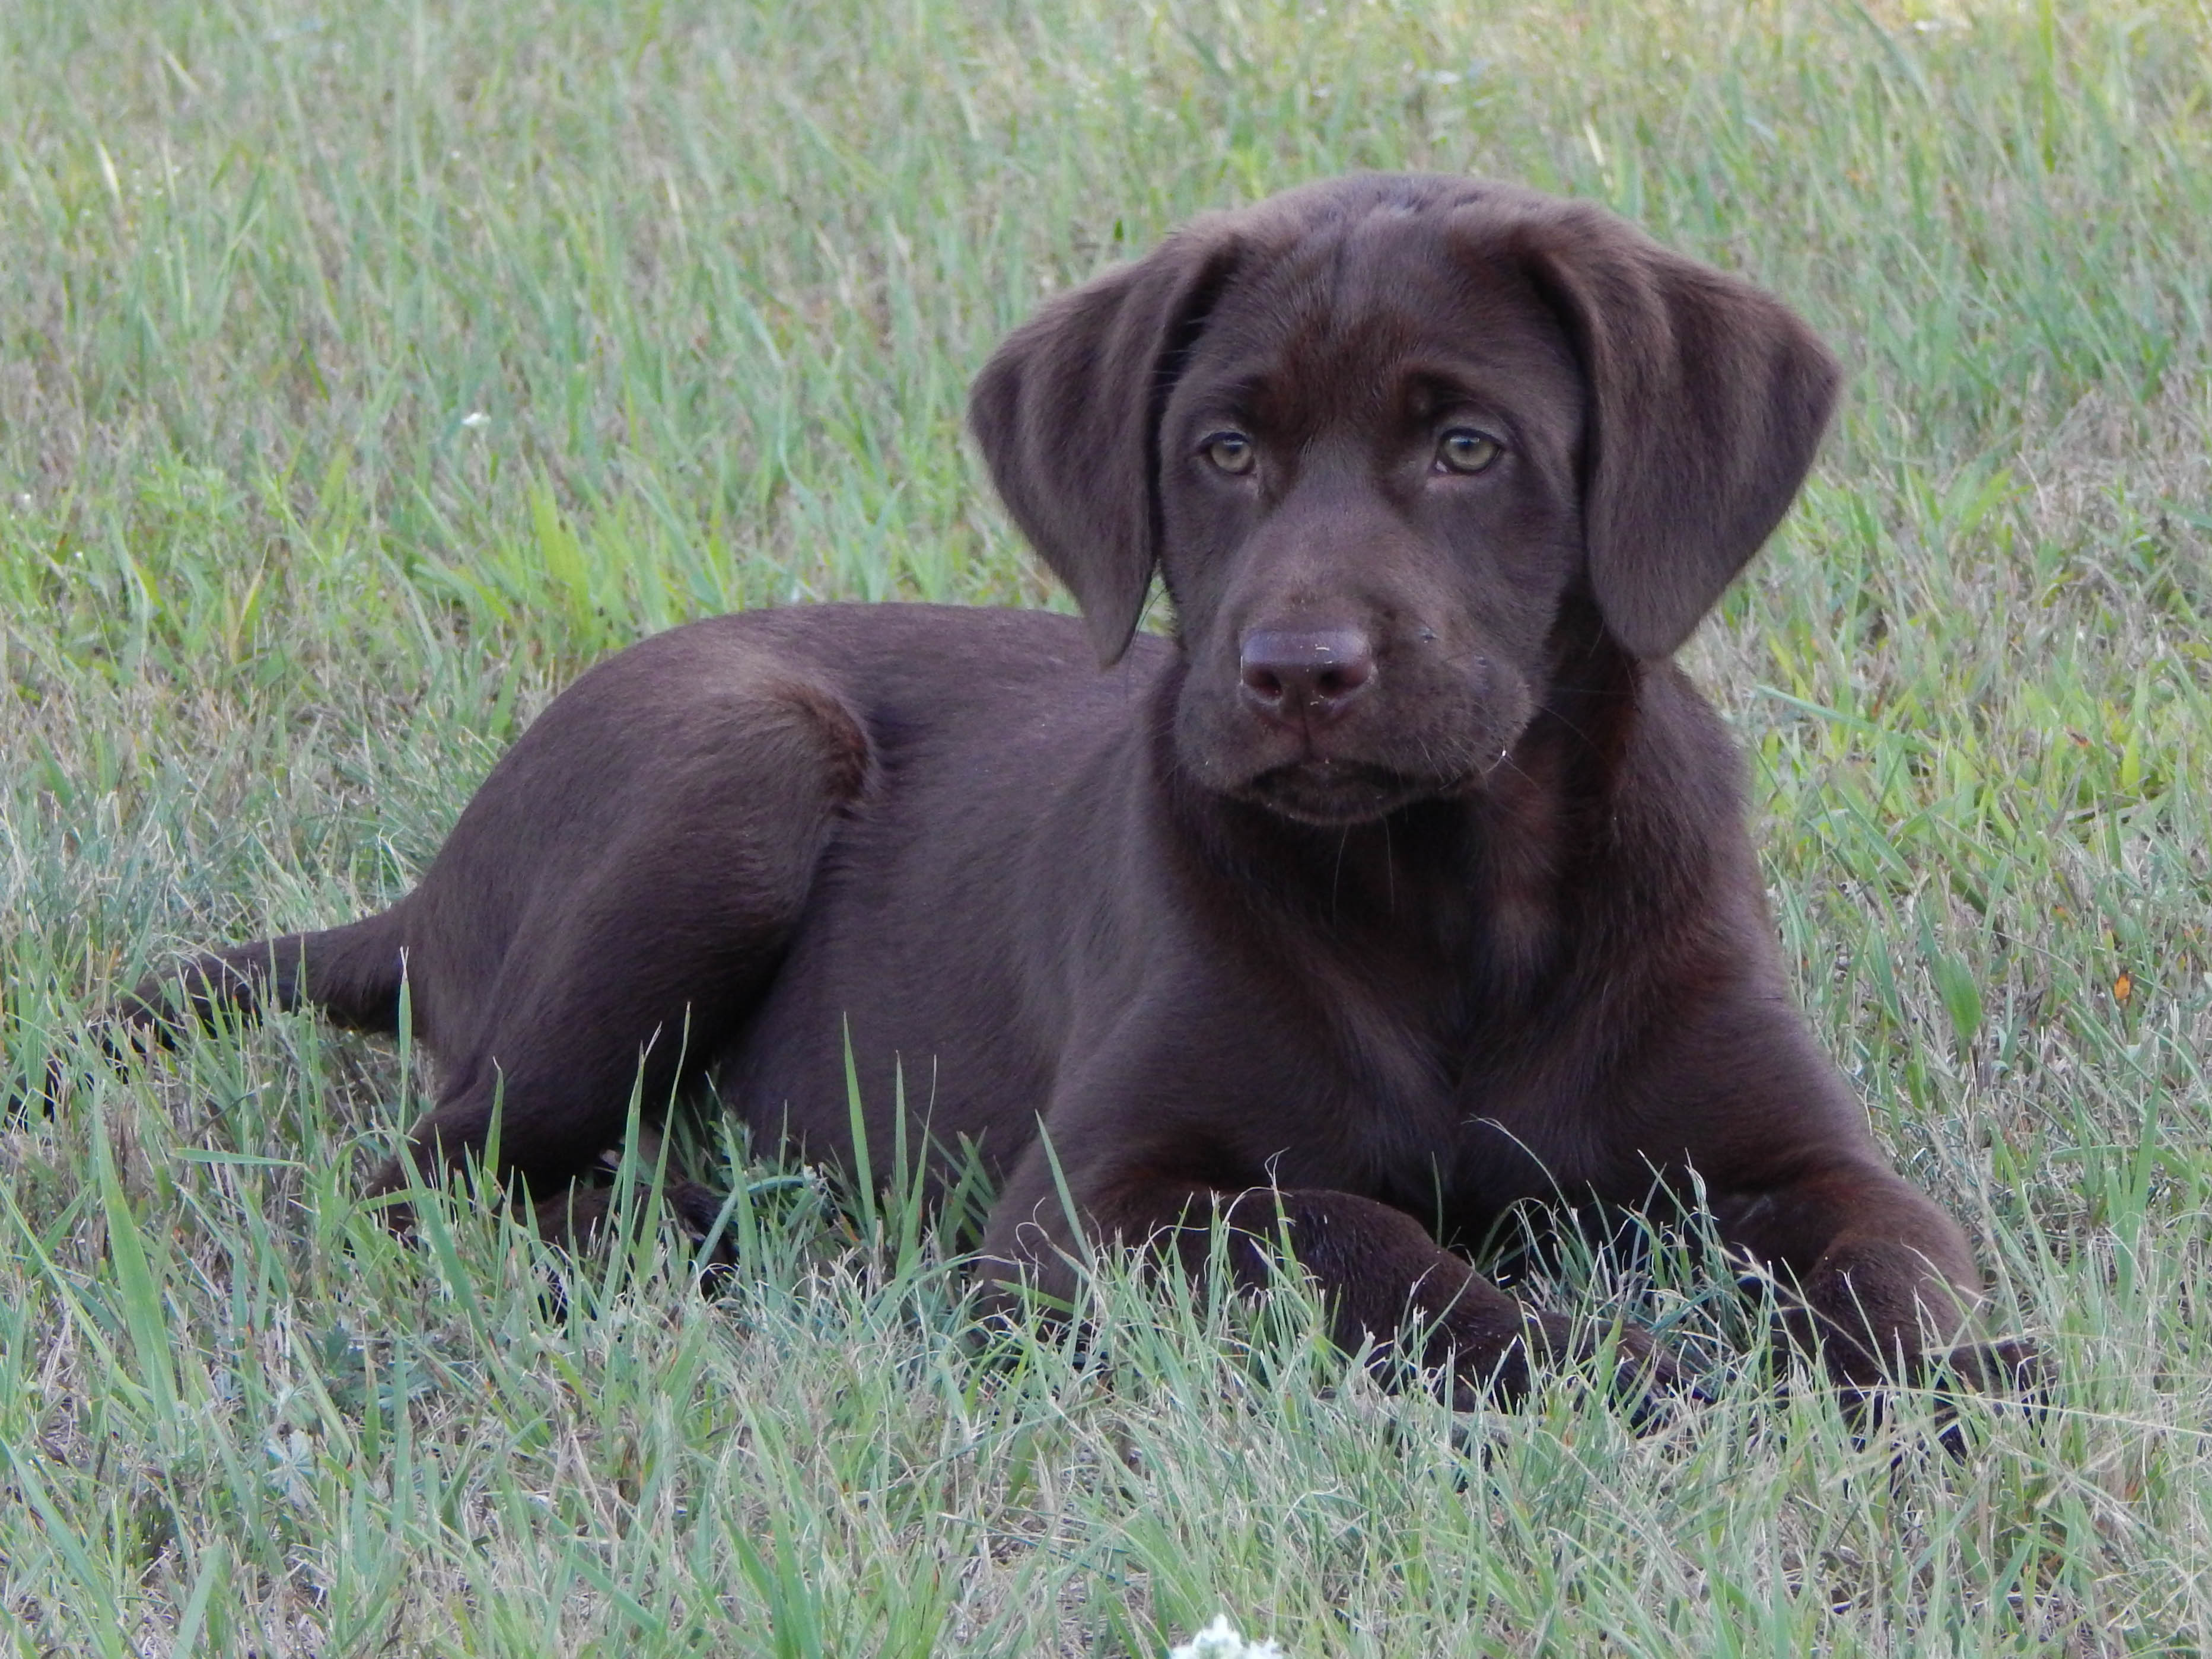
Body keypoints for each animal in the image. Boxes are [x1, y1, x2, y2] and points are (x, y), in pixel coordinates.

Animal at [116, 179, 2026, 1406]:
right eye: (1224, 448)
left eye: (1468, 446)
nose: (1296, 671)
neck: (1451, 888)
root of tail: (428, 889)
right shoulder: (1102, 1204)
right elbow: (1369, 1244)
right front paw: (1638, 1370)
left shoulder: (1801, 1154)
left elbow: (1900, 1262)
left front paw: (1957, 1378)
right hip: (737, 752)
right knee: (443, 1164)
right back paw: (709, 1223)